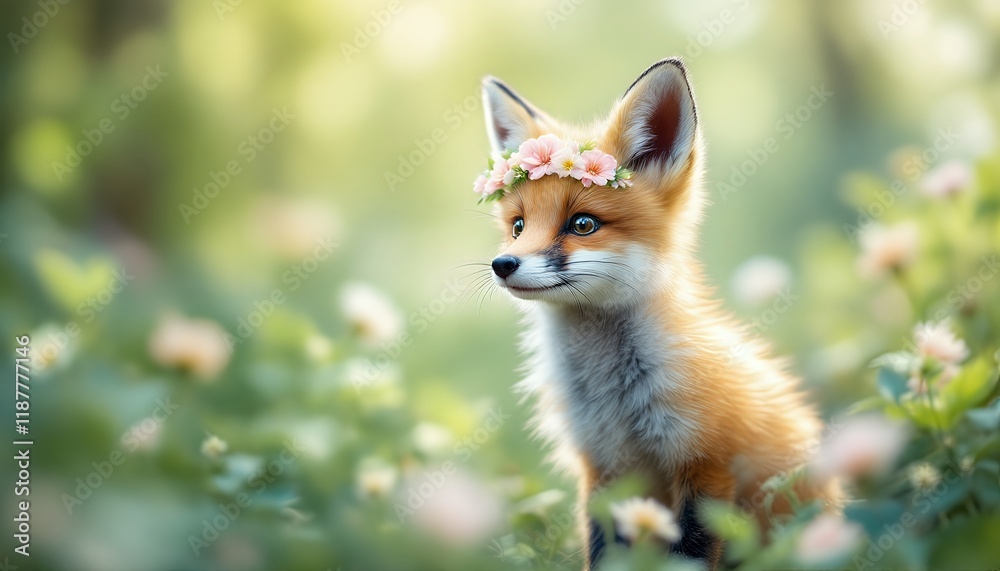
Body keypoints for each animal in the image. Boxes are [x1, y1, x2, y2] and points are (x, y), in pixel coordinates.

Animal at [474, 58, 841, 569]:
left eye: (582, 224)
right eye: (518, 226)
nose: (503, 265)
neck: (614, 397)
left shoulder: (705, 463)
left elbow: (688, 555)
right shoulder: (603, 469)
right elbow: (601, 553)